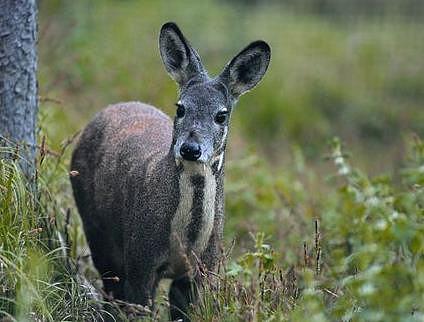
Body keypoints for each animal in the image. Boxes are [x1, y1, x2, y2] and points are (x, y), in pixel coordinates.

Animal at [69, 21, 268, 320]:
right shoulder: (140, 260)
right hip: (96, 227)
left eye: (221, 115)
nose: (190, 148)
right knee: (110, 286)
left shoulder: (200, 271)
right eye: (181, 108)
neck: (185, 241)